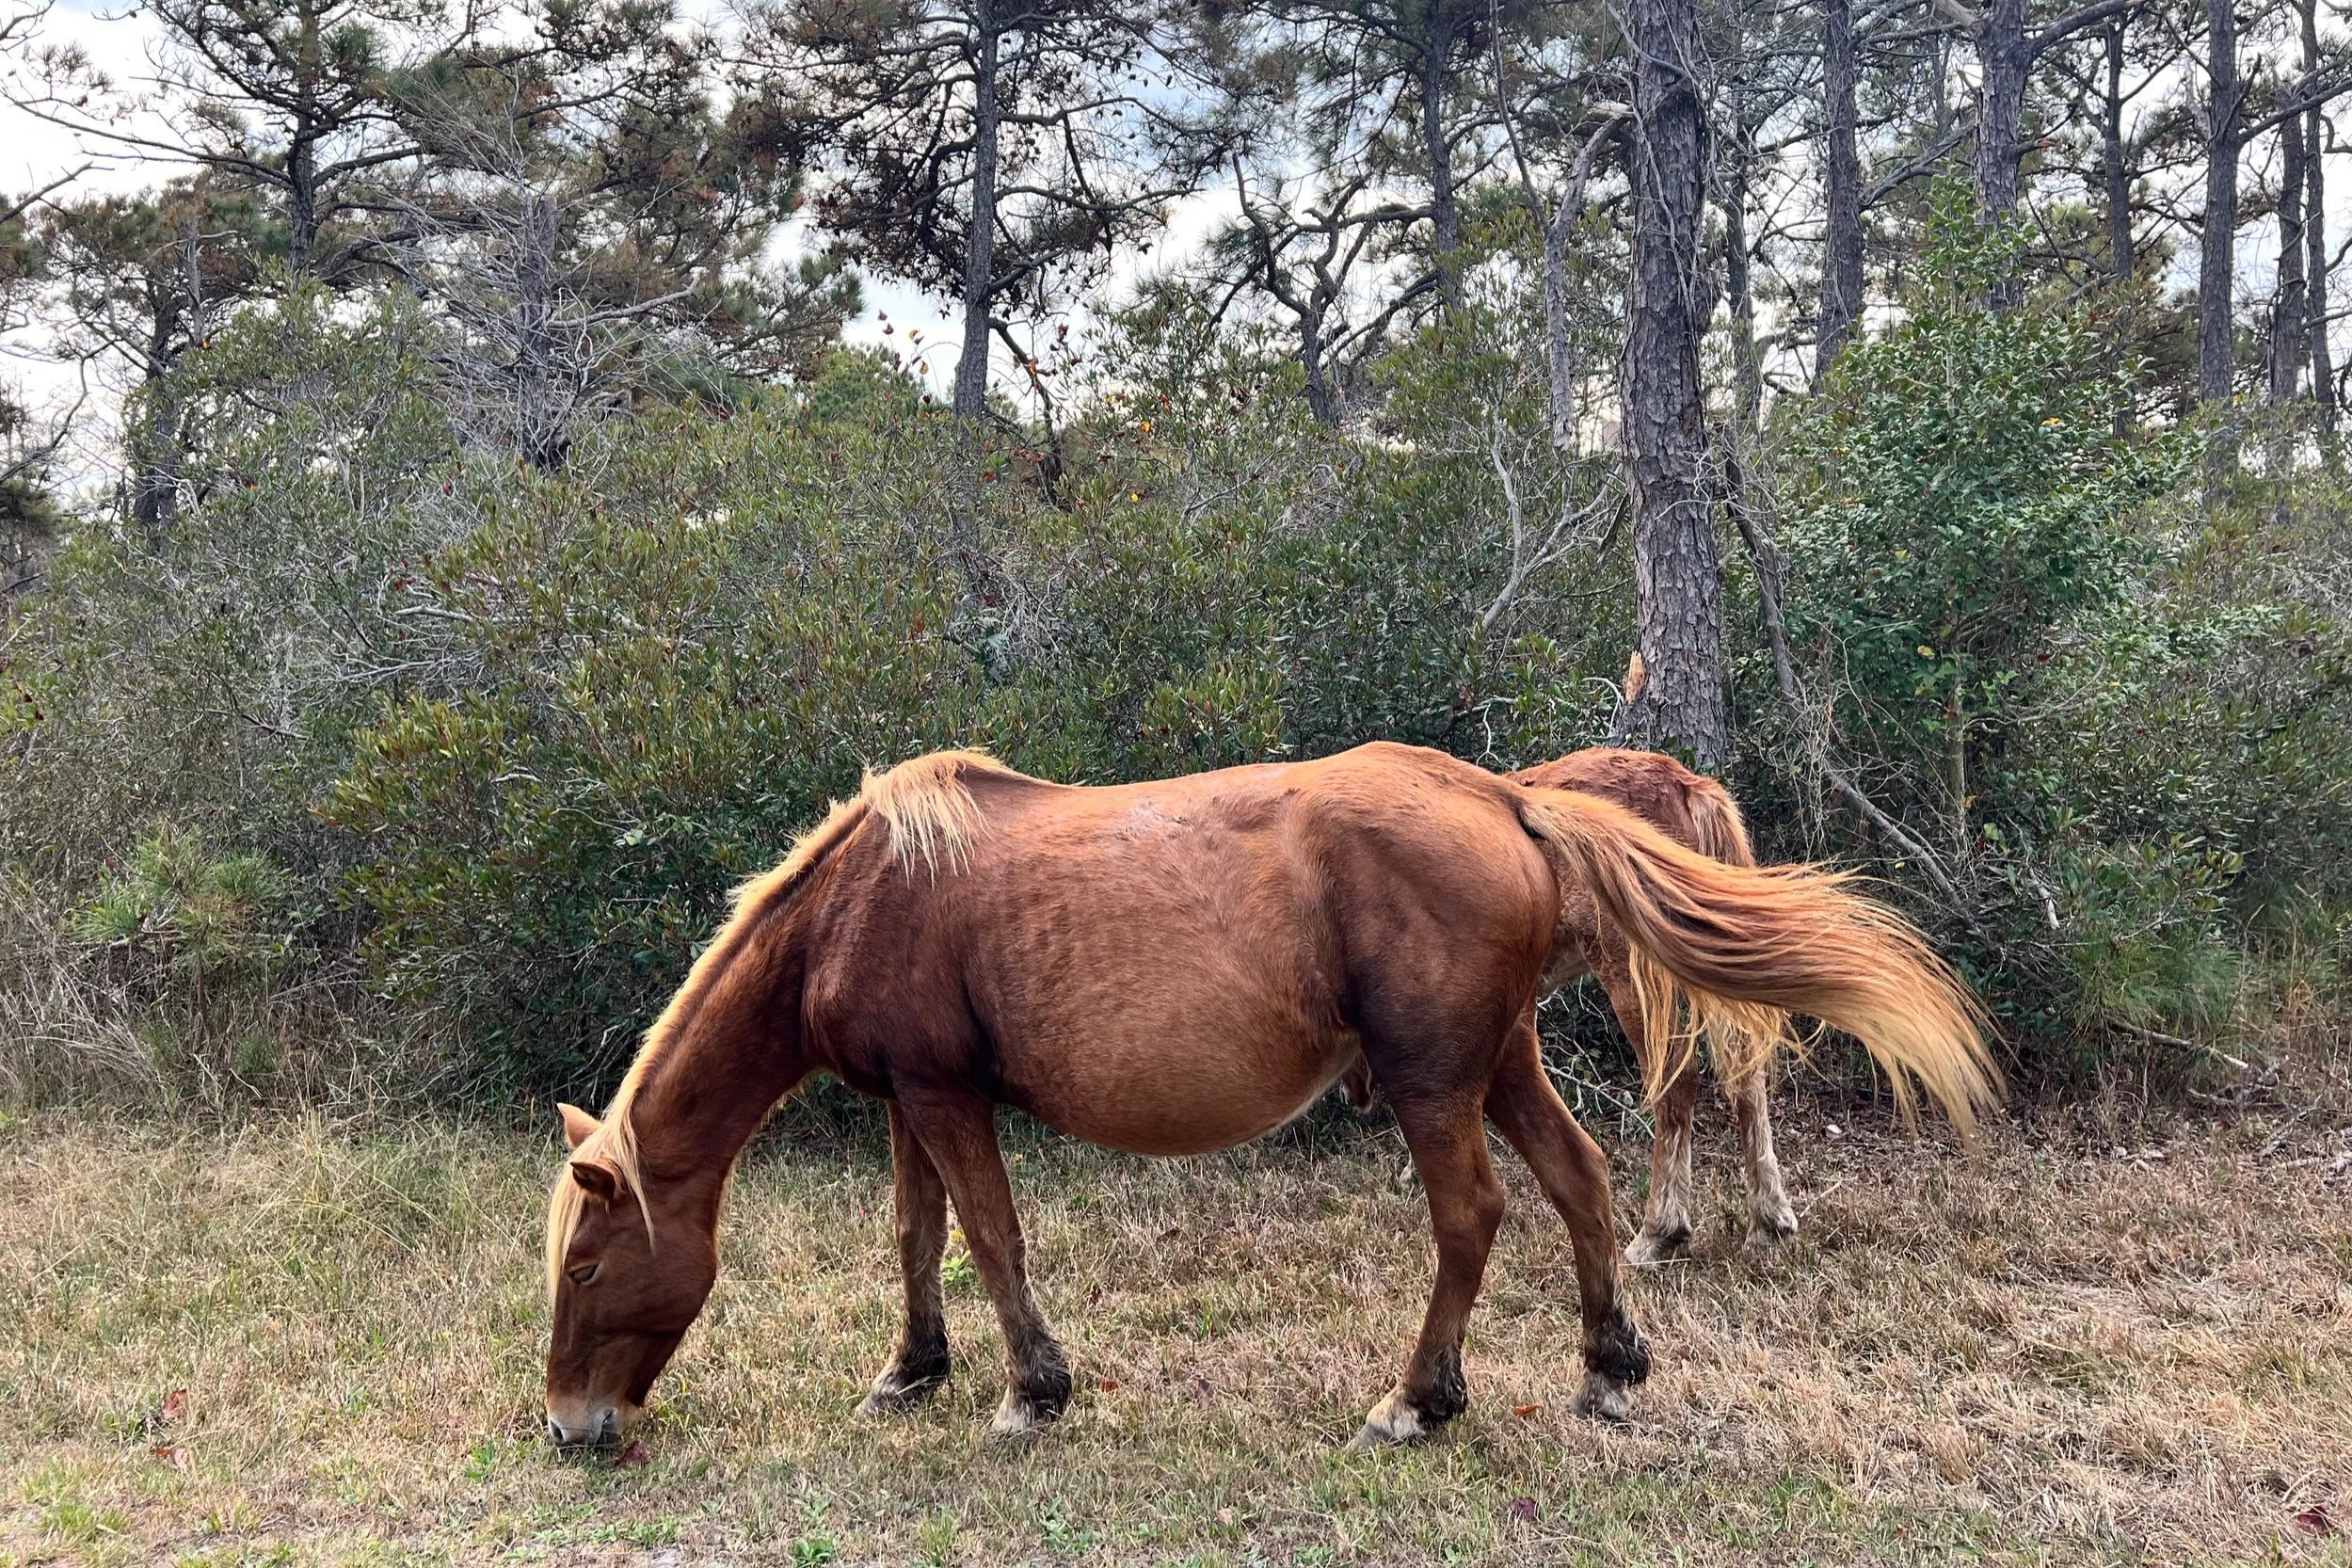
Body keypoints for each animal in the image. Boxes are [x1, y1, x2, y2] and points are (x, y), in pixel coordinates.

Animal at [1340, 747, 1800, 1261]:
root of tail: (1685, 785)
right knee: (1745, 1073)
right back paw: (1769, 1220)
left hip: (1630, 969)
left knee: (1676, 1079)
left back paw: (1659, 1232)